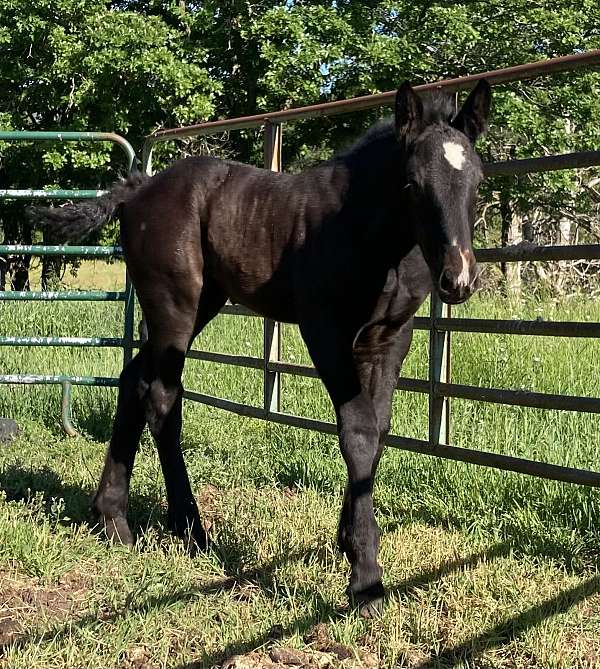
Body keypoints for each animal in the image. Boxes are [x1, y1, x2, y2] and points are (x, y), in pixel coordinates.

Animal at [32, 78, 490, 616]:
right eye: (413, 184)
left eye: (478, 181)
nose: (459, 278)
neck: (369, 234)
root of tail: (139, 188)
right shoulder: (324, 330)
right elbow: (356, 431)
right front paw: (366, 581)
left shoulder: (391, 337)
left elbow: (377, 431)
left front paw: (348, 542)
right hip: (174, 305)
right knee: (162, 395)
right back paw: (190, 528)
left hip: (203, 303)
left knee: (134, 381)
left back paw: (114, 521)